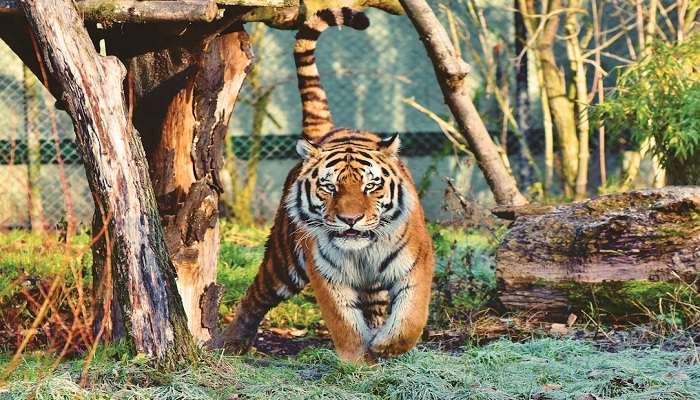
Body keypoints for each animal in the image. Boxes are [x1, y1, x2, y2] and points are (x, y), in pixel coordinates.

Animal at [211, 7, 434, 362]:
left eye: (371, 186)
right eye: (329, 188)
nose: (350, 220)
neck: (363, 253)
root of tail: (328, 131)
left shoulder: (417, 263)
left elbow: (410, 318)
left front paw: (385, 346)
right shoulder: (326, 275)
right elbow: (344, 324)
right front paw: (357, 360)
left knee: (375, 307)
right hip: (283, 261)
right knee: (255, 296)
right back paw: (230, 342)